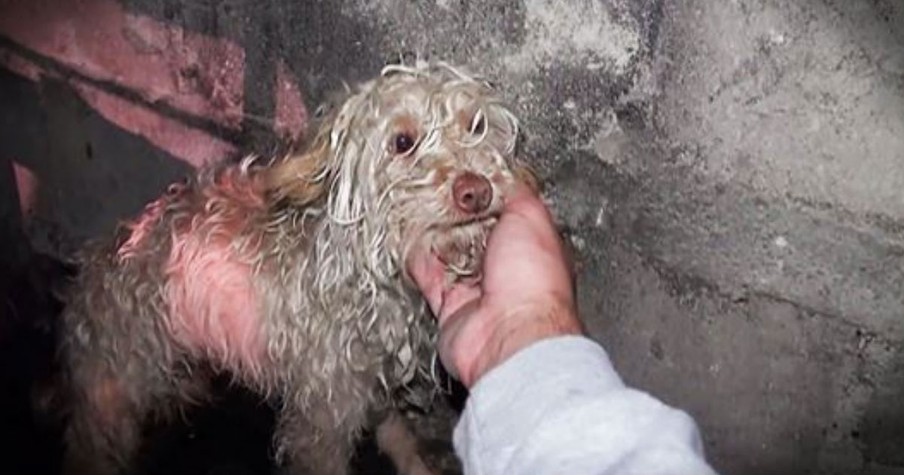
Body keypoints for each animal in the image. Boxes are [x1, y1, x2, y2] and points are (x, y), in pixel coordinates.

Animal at [56, 62, 532, 475]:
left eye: (476, 126)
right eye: (402, 142)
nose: (475, 192)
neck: (370, 272)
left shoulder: (371, 383)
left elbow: (395, 431)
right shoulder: (322, 412)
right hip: (117, 388)